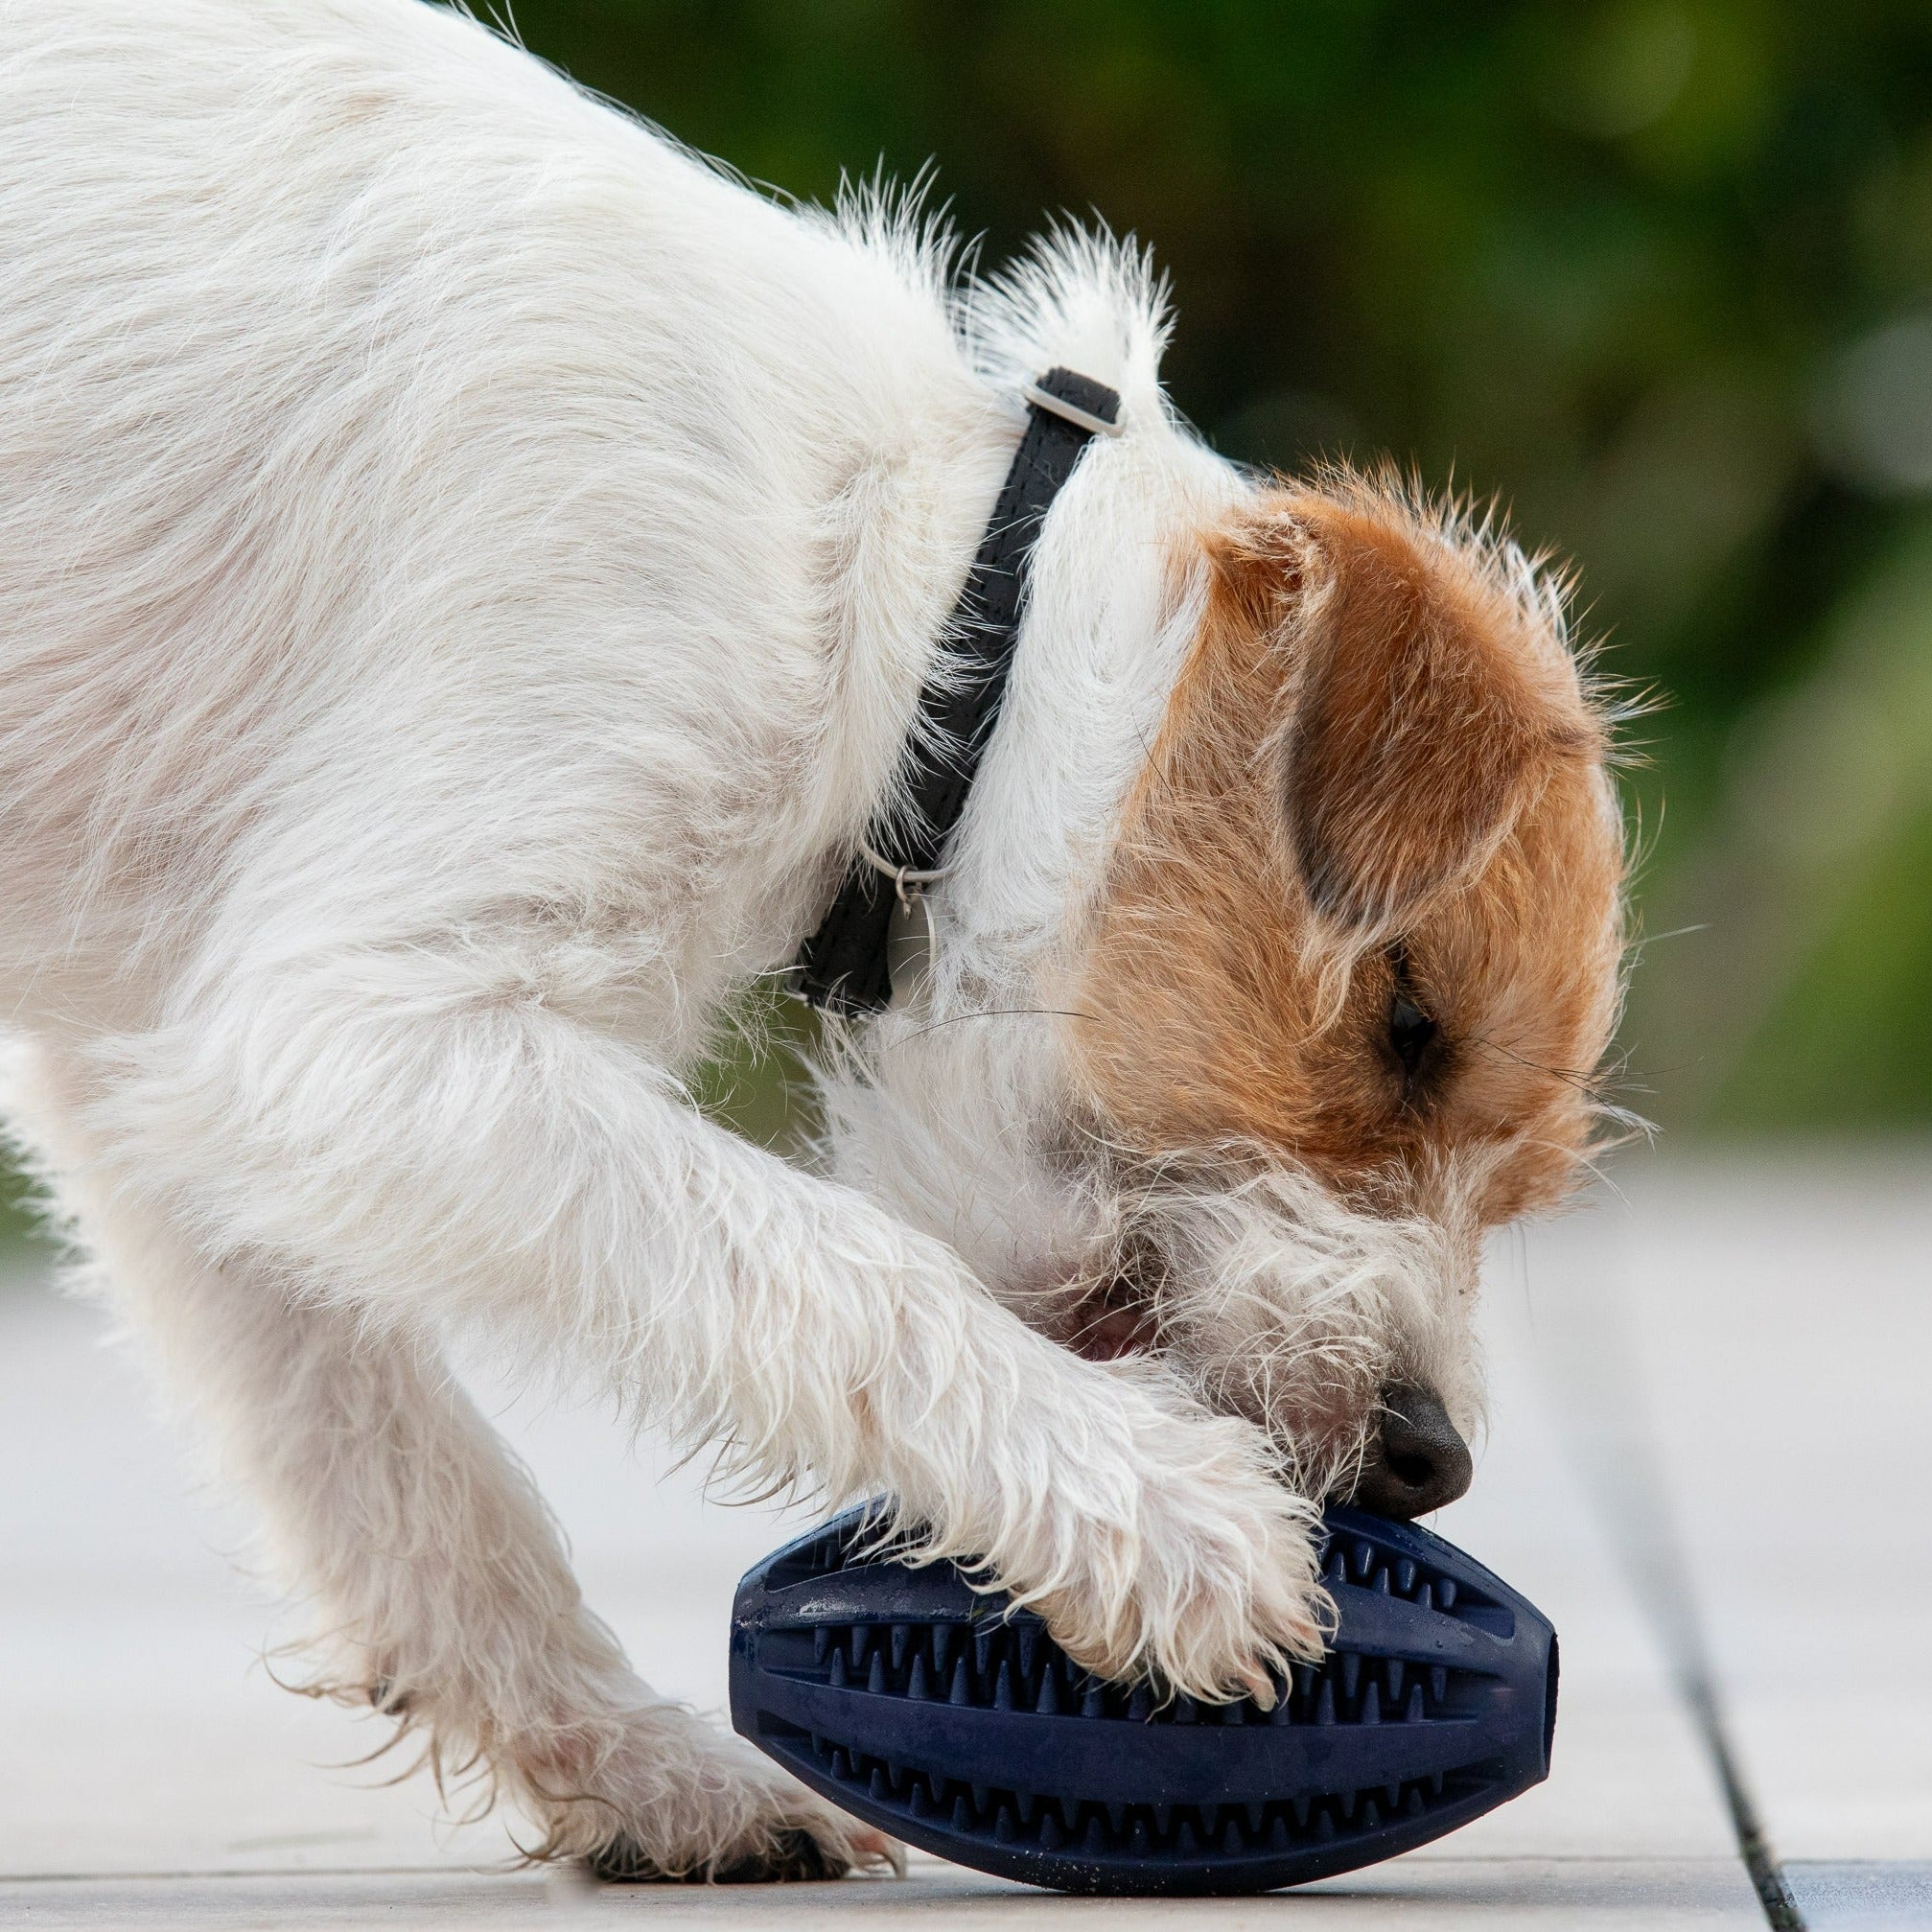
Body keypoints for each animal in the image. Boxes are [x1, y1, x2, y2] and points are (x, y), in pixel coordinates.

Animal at [0, 0, 1630, 1877]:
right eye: (1409, 1026)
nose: (1429, 1461)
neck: (919, 607)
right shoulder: (347, 1025)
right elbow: (836, 1263)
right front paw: (1162, 1524)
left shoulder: (162, 1050)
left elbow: (380, 1456)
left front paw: (640, 1770)